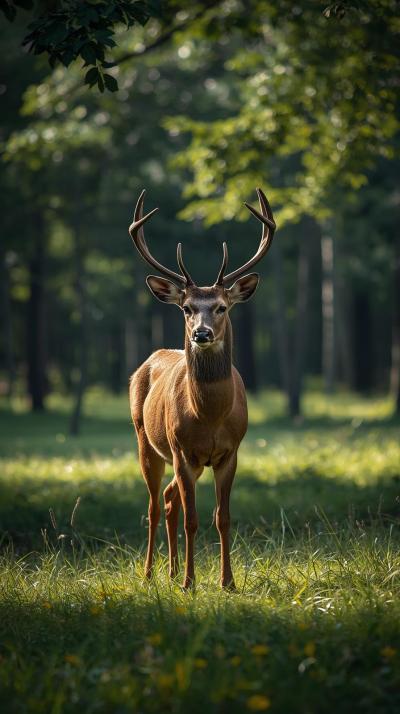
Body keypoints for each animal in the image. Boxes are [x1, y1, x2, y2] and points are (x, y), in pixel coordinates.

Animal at [129, 188, 276, 589]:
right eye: (187, 308)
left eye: (222, 307)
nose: (201, 334)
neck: (209, 416)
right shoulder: (182, 450)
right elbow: (193, 520)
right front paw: (190, 583)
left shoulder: (231, 451)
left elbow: (222, 518)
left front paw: (228, 582)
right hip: (146, 439)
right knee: (154, 503)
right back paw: (152, 573)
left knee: (168, 500)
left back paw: (171, 569)